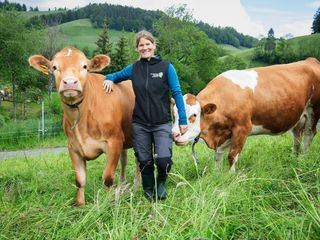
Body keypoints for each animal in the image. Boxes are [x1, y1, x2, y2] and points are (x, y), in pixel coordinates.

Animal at [30, 47, 139, 206]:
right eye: (54, 67)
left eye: (85, 66)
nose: (70, 82)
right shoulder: (73, 147)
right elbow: (80, 180)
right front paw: (80, 205)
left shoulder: (114, 141)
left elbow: (107, 177)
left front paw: (108, 203)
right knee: (124, 161)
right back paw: (123, 185)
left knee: (139, 161)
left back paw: (137, 186)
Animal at [172, 58, 320, 172]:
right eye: (174, 114)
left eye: (194, 115)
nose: (174, 135)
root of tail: (310, 60)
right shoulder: (223, 134)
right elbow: (218, 155)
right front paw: (216, 174)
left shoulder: (242, 128)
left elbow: (232, 156)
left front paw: (231, 177)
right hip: (299, 118)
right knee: (297, 138)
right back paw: (295, 158)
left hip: (314, 110)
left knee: (309, 135)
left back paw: (303, 160)